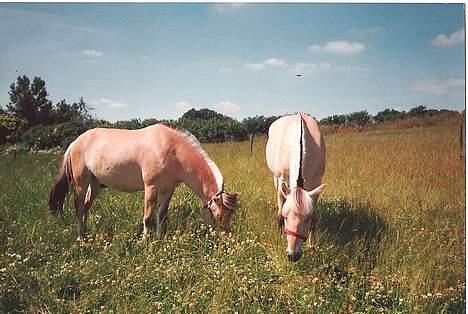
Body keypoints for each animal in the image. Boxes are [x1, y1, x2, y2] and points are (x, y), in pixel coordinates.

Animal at [49, 123, 238, 240]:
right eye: (217, 215)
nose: (224, 238)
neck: (172, 150)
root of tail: (75, 142)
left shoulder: (168, 189)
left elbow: (161, 215)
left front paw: (160, 238)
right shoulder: (151, 187)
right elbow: (147, 217)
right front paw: (145, 242)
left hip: (95, 185)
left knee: (86, 208)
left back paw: (86, 234)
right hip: (81, 183)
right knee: (79, 208)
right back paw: (80, 239)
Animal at [266, 113, 328, 262]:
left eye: (307, 218)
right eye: (286, 216)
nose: (293, 255)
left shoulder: (316, 183)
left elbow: (315, 219)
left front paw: (312, 249)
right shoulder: (281, 180)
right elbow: (279, 211)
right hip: (275, 178)